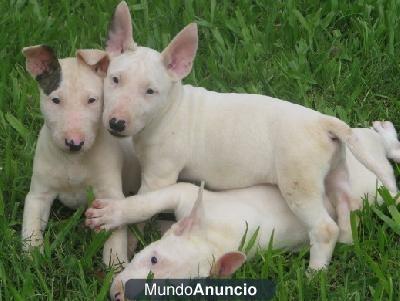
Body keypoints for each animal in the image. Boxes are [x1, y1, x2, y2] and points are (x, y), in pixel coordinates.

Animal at [21, 44, 141, 264]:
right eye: (56, 100)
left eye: (92, 100)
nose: (74, 143)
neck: (74, 160)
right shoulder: (38, 195)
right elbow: (31, 224)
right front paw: (33, 256)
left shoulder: (110, 194)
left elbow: (115, 230)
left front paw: (116, 264)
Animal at [86, 122, 398, 298]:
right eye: (153, 259)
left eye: (170, 291)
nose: (119, 295)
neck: (213, 238)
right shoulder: (184, 195)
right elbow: (145, 203)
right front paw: (111, 215)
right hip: (354, 145)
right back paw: (385, 132)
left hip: (373, 191)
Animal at [97, 1, 396, 270]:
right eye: (114, 79)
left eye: (150, 91)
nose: (116, 123)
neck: (170, 109)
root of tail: (324, 122)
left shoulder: (159, 175)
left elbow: (140, 205)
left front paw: (121, 236)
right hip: (335, 172)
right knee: (348, 211)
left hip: (299, 182)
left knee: (325, 228)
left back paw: (315, 273)